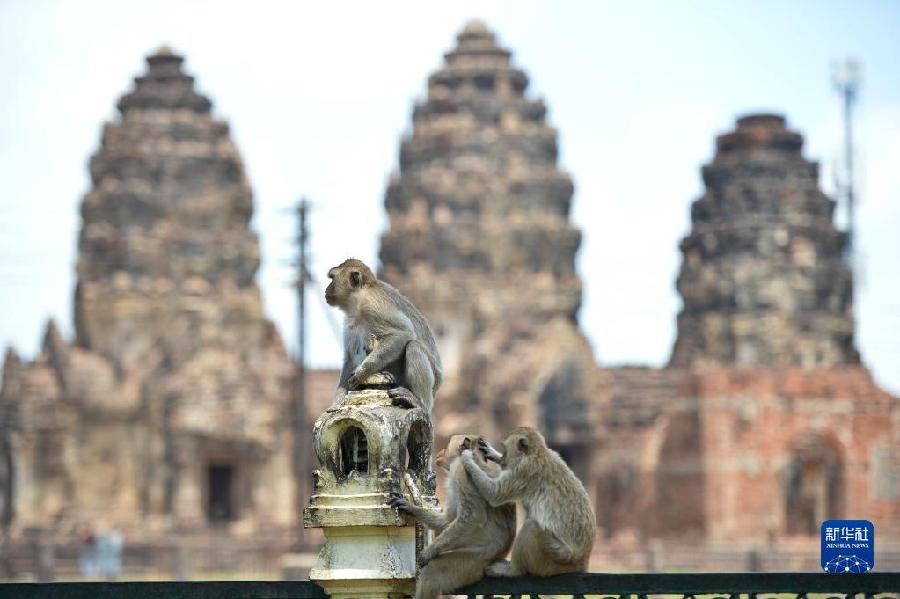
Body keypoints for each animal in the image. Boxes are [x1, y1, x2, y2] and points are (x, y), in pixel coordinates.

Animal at [326, 260, 442, 414]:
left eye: (332, 278)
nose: (326, 289)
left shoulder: (374, 307)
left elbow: (403, 333)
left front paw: (364, 370)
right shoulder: (350, 323)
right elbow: (350, 359)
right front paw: (338, 403)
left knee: (414, 346)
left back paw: (418, 402)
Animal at [390, 436, 516, 599]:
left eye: (448, 445)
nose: (441, 452)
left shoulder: (459, 470)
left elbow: (473, 517)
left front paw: (429, 552)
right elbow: (449, 520)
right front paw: (409, 508)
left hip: (473, 561)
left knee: (432, 574)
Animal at [464, 426, 596, 576]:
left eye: (506, 450)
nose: (503, 460)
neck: (537, 453)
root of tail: (582, 561)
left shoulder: (523, 471)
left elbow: (494, 494)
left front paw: (469, 460)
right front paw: (491, 452)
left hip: (555, 559)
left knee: (531, 527)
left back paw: (513, 570)